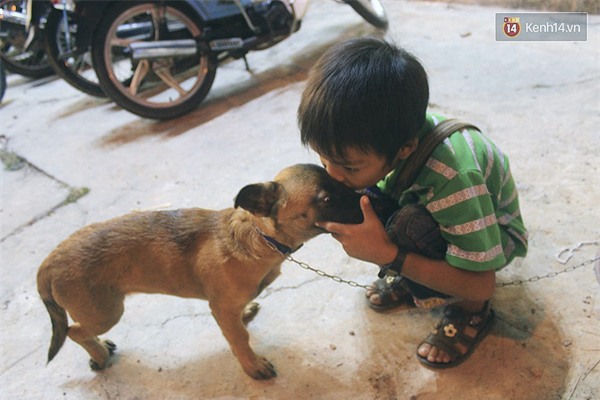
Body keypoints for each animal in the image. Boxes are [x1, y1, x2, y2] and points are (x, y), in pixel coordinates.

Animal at [38, 164, 366, 380]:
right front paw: (252, 365)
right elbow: (239, 339)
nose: (370, 200)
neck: (258, 235)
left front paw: (246, 315)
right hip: (107, 312)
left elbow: (237, 324)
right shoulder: (221, 308)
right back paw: (99, 354)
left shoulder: (226, 307)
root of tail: (49, 262)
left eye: (341, 181)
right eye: (326, 199)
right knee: (74, 331)